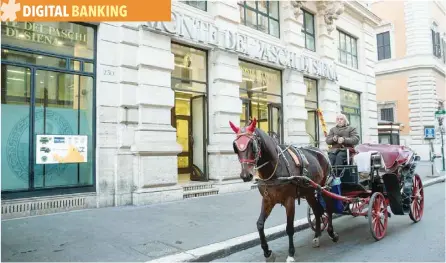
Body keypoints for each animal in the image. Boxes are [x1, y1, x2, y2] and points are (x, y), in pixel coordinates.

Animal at [230, 118, 338, 262]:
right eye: (235, 146)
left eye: (252, 145)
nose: (245, 175)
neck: (274, 168)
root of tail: (320, 151)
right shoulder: (268, 200)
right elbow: (260, 224)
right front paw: (267, 252)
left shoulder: (289, 200)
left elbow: (289, 228)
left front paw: (291, 253)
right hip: (309, 192)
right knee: (317, 210)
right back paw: (317, 236)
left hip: (323, 187)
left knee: (328, 209)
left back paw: (331, 233)